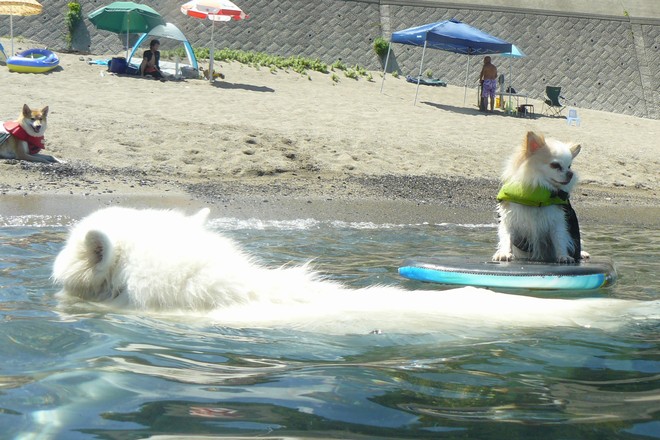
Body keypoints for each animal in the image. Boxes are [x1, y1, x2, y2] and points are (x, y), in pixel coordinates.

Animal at [493, 131, 589, 264]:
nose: (570, 174)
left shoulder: (557, 221)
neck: (537, 195)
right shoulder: (509, 219)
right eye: (555, 165)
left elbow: (559, 238)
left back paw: (582, 253)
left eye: (569, 166)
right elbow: (507, 237)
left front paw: (563, 256)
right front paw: (504, 253)